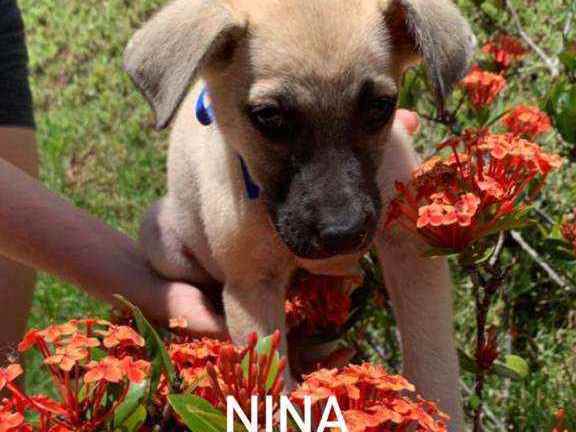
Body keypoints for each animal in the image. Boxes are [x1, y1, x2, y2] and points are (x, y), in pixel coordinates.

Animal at [124, 0, 475, 429]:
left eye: (380, 107)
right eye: (269, 117)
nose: (343, 234)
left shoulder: (411, 251)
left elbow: (432, 356)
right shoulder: (252, 290)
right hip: (160, 237)